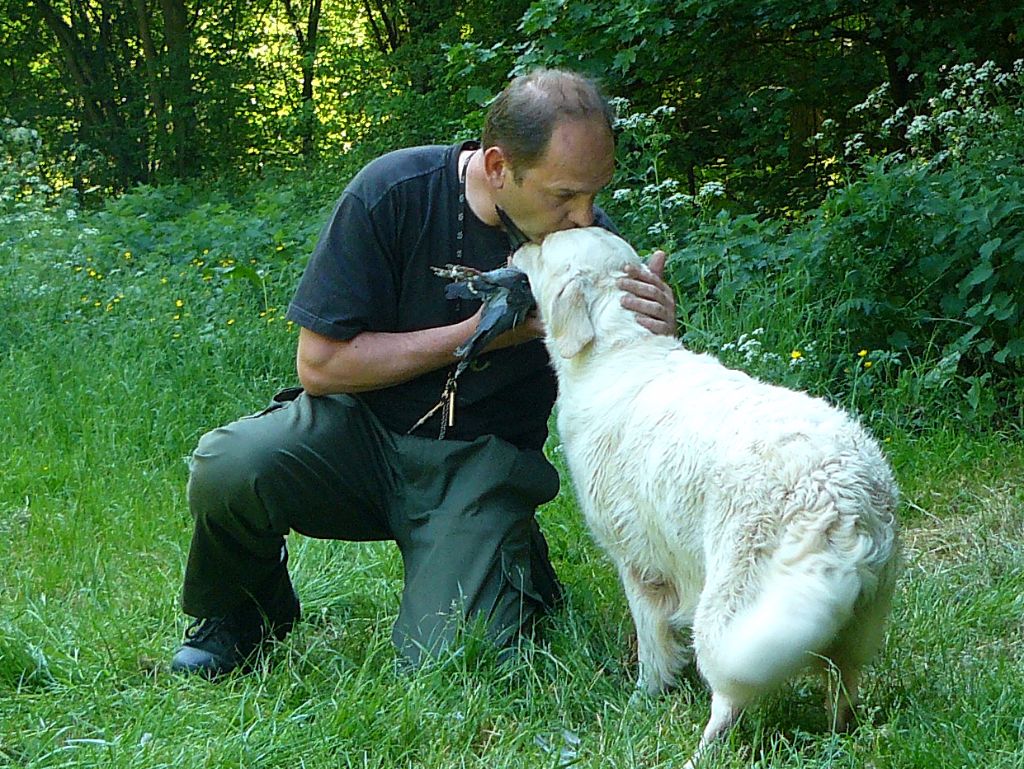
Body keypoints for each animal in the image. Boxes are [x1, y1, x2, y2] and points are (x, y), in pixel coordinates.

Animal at [512, 227, 897, 765]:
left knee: (730, 701)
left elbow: (652, 644)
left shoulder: (638, 564)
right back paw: (837, 737)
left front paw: (644, 698)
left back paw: (698, 752)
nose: (515, 246)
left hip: (728, 605)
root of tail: (840, 496)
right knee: (843, 688)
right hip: (860, 621)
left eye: (543, 247)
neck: (617, 349)